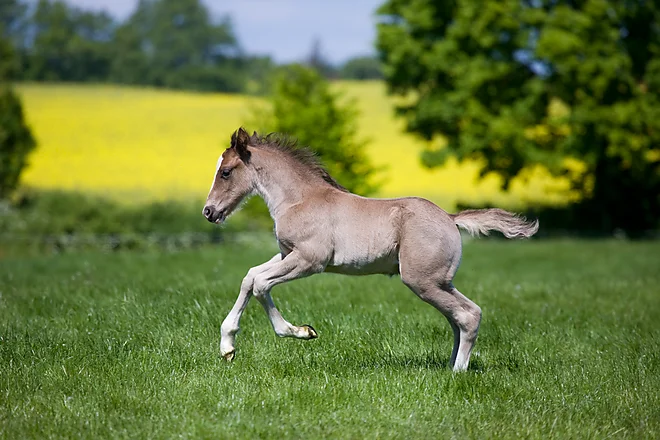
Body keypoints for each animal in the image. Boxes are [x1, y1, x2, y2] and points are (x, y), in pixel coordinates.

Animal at [203, 127, 538, 371]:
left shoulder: (310, 260)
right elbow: (250, 277)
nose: (209, 211)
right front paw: (227, 347)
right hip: (440, 281)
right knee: (459, 317)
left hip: (422, 280)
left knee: (469, 315)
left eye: (226, 172)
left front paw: (302, 332)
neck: (300, 199)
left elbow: (261, 284)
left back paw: (457, 373)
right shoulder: (288, 254)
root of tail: (450, 218)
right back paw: (450, 366)